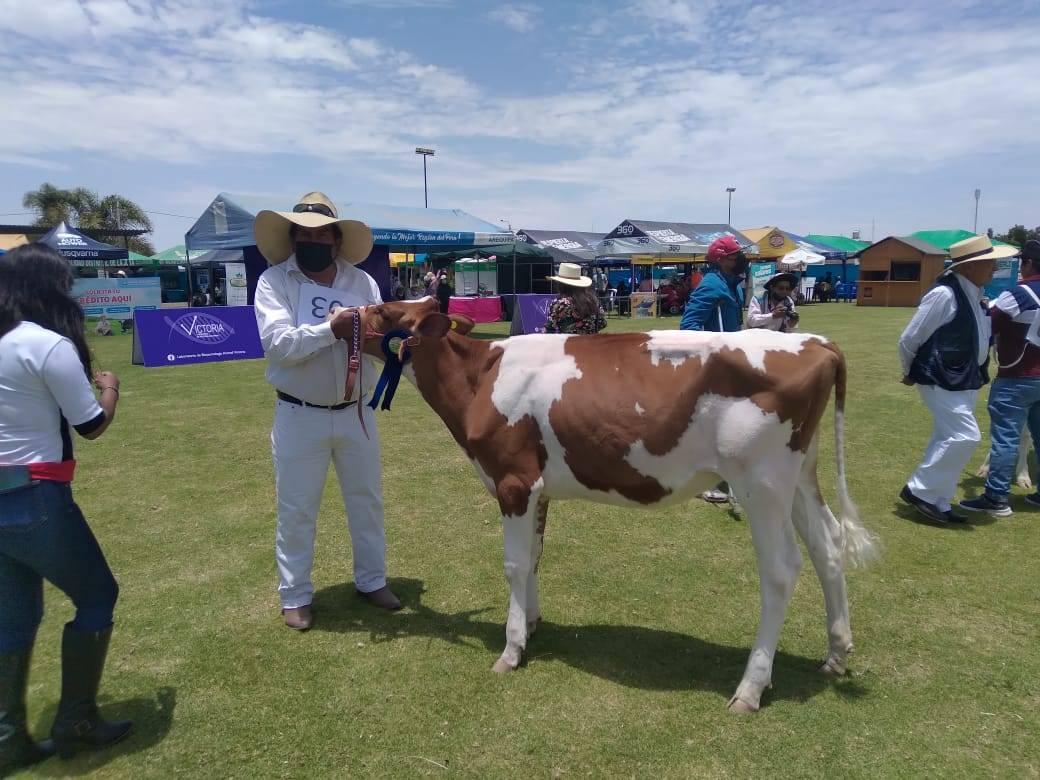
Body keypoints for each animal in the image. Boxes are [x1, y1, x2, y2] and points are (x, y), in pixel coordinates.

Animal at [353, 299, 873, 715]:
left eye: (381, 312)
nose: (342, 318)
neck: (481, 378)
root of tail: (815, 342)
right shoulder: (539, 488)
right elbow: (535, 557)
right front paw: (533, 625)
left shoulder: (514, 481)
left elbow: (515, 565)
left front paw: (511, 648)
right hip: (798, 476)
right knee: (828, 546)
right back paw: (836, 653)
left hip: (761, 482)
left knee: (782, 569)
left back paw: (750, 688)